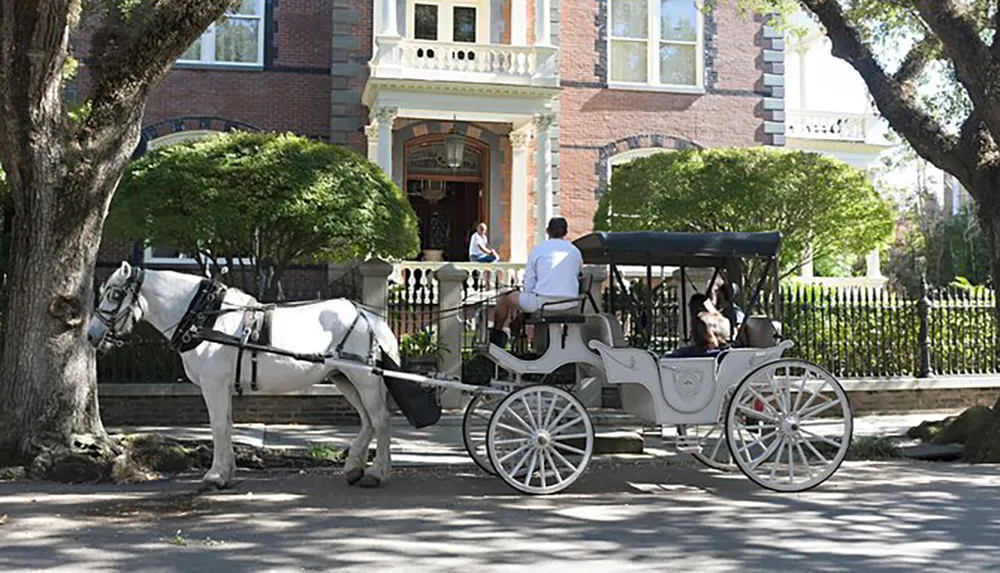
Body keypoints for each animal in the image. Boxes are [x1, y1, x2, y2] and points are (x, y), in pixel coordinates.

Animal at [87, 260, 398, 488]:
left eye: (115, 294)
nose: (91, 335)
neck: (205, 317)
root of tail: (369, 316)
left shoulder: (213, 385)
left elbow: (218, 427)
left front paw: (214, 476)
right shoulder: (221, 386)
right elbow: (226, 425)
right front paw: (227, 473)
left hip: (365, 379)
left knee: (381, 420)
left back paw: (377, 472)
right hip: (343, 377)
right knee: (367, 421)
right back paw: (354, 468)